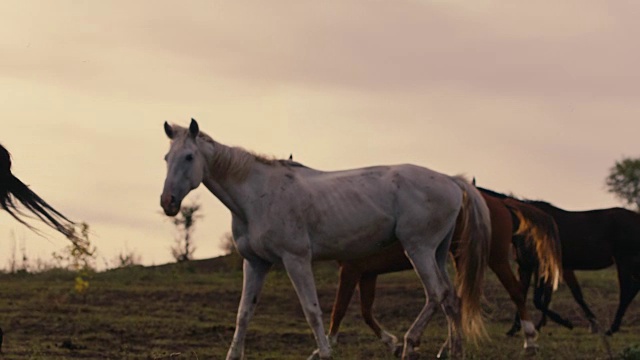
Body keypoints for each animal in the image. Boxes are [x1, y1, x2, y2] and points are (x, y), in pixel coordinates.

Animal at [159, 119, 490, 358]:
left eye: (189, 156)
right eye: (166, 157)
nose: (168, 202)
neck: (257, 195)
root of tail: (450, 180)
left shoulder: (296, 260)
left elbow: (313, 311)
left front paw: (324, 352)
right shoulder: (255, 263)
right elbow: (244, 314)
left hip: (418, 249)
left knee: (436, 294)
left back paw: (409, 344)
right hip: (437, 252)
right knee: (452, 299)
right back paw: (453, 352)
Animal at [328, 188, 564, 354]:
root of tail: (499, 202)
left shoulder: (351, 270)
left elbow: (339, 310)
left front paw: (327, 346)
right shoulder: (367, 273)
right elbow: (366, 312)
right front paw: (392, 344)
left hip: (495, 259)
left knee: (514, 292)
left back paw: (530, 341)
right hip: (462, 258)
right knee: (456, 299)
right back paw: (448, 346)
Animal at [510, 201, 640, 336]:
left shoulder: (541, 267)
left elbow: (541, 299)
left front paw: (569, 323)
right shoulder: (526, 267)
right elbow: (525, 295)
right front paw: (517, 328)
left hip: (624, 262)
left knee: (626, 292)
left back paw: (612, 329)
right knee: (634, 288)